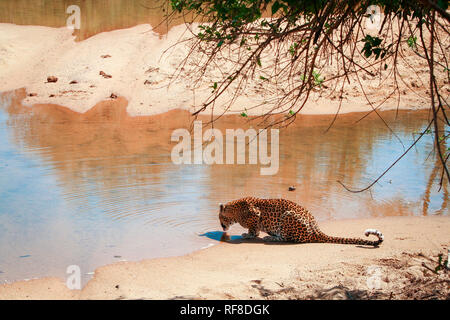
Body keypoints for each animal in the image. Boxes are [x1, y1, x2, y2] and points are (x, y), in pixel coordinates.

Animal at [218, 196, 384, 246]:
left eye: (219, 217)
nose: (221, 227)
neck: (236, 211)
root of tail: (317, 231)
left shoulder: (255, 214)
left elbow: (253, 229)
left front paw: (248, 235)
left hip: (287, 216)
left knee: (287, 238)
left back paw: (271, 237)